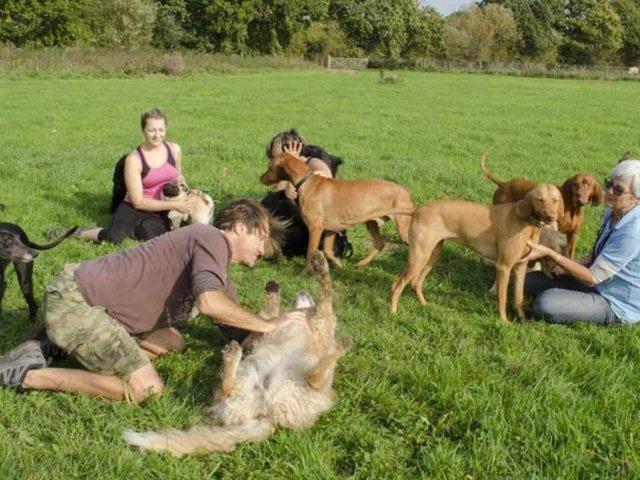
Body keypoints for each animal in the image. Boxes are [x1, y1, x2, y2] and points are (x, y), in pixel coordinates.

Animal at [124, 251, 350, 458]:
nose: (302, 290)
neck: (306, 316)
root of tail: (267, 415)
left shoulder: (323, 317)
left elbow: (326, 293)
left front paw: (321, 266)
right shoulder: (267, 329)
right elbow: (269, 314)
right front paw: (274, 290)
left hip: (313, 386)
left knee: (317, 375)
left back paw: (341, 345)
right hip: (246, 382)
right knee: (227, 387)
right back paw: (232, 356)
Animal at [260, 152, 416, 270]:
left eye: (270, 166)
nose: (260, 178)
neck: (306, 181)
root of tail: (405, 191)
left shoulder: (315, 228)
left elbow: (310, 253)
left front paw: (305, 272)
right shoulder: (331, 229)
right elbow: (328, 252)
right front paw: (339, 265)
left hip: (402, 228)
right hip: (371, 222)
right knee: (379, 243)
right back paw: (361, 264)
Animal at [388, 184, 564, 322]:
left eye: (555, 200)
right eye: (540, 199)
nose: (551, 217)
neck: (526, 223)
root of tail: (418, 209)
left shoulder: (520, 267)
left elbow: (519, 298)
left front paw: (522, 320)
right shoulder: (503, 266)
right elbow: (502, 298)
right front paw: (504, 321)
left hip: (432, 256)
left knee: (415, 283)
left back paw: (424, 305)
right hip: (418, 257)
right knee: (396, 286)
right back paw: (393, 313)